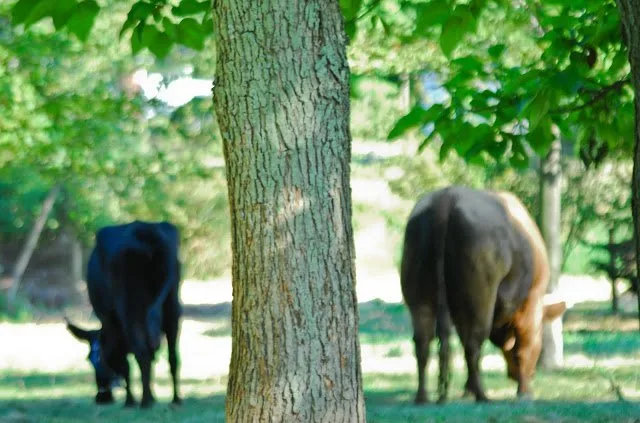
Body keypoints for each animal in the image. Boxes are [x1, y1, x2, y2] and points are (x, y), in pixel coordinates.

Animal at [66, 221, 182, 408]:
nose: (102, 398)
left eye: (93, 359)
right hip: (172, 304)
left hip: (129, 308)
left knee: (141, 352)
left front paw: (130, 400)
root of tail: (144, 230)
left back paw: (144, 402)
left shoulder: (114, 323)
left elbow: (126, 363)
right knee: (173, 356)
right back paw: (176, 400)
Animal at [400, 186, 566, 404]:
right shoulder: (531, 300)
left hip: (420, 295)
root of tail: (446, 196)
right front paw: (524, 392)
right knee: (473, 343)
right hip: (480, 298)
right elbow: (525, 346)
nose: (513, 375)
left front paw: (467, 389)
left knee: (424, 342)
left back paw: (423, 396)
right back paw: (482, 395)